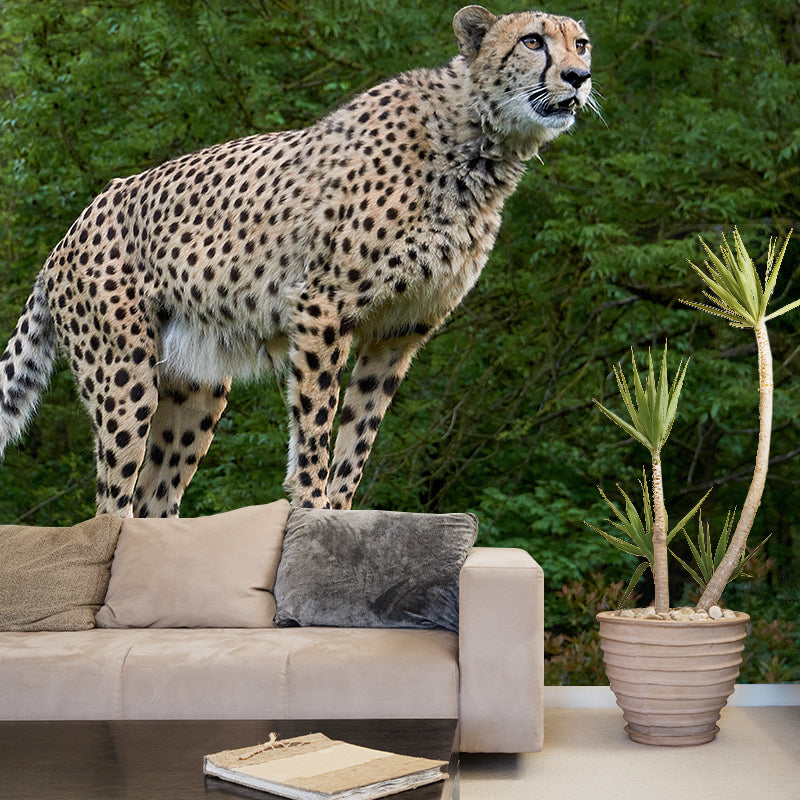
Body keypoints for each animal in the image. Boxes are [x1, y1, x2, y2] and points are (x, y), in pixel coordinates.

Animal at [0, 5, 593, 516]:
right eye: (533, 41)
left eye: (581, 44)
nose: (579, 76)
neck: (480, 142)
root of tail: (69, 232)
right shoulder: (321, 305)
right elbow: (316, 421)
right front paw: (310, 508)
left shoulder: (400, 330)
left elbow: (359, 432)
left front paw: (341, 512)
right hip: (124, 373)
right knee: (111, 504)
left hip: (196, 387)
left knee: (154, 502)